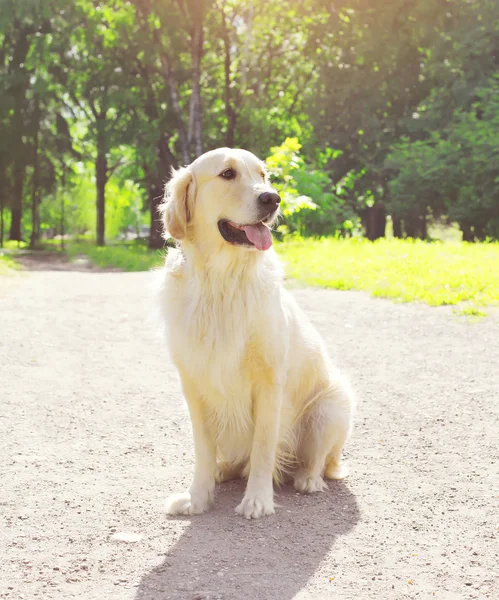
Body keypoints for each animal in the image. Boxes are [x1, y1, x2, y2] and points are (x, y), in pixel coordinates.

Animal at [158, 148, 354, 516]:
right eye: (227, 174)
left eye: (263, 175)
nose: (272, 198)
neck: (221, 281)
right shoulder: (193, 384)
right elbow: (203, 450)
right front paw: (197, 497)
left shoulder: (269, 382)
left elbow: (263, 446)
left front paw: (258, 499)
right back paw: (223, 471)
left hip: (331, 405)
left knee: (320, 460)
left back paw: (308, 479)